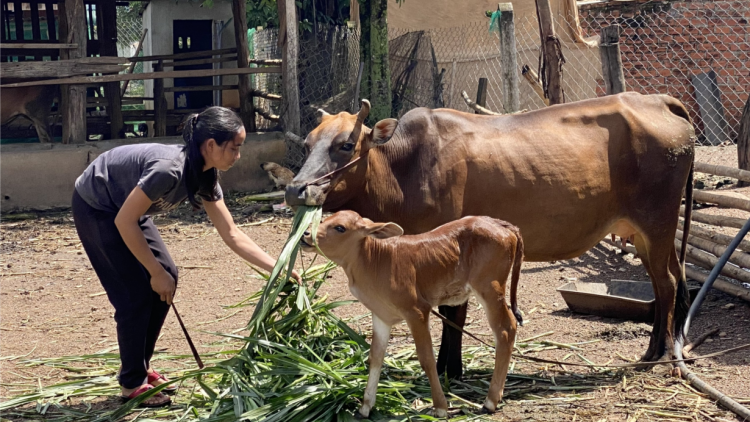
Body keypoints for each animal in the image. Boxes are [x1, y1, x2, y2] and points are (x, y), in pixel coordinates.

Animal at [300, 211, 524, 416]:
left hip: (490, 288)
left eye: (340, 228)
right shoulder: (381, 316)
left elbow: (426, 358)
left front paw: (440, 407)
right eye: (324, 219)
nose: (305, 235)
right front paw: (365, 406)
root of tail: (502, 224)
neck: (375, 261)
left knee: (506, 330)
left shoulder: (417, 311)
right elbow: (375, 356)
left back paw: (490, 401)